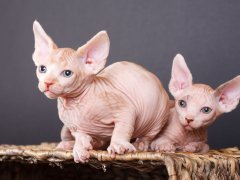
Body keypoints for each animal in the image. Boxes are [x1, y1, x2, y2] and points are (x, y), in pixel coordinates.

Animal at [32, 21, 171, 163]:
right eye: (42, 69)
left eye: (67, 73)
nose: (47, 83)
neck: (74, 104)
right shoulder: (74, 127)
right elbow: (80, 136)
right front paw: (80, 148)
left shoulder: (124, 108)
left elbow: (122, 128)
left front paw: (118, 145)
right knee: (96, 142)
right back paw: (69, 145)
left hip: (158, 116)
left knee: (149, 135)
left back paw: (140, 144)